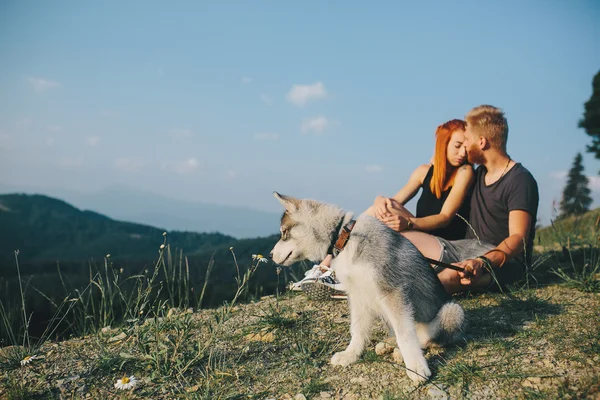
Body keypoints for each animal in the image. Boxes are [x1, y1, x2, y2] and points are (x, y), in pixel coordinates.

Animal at [270, 192, 464, 382]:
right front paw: (350, 354)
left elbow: (405, 334)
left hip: (453, 311)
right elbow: (357, 329)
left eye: (284, 232)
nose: (270, 255)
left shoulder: (393, 291)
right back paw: (388, 344)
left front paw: (415, 367)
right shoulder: (357, 295)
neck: (345, 240)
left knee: (424, 337)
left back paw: (401, 352)